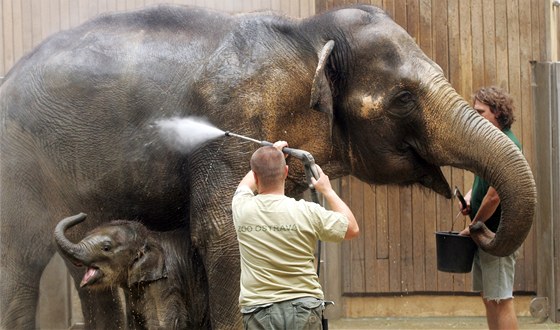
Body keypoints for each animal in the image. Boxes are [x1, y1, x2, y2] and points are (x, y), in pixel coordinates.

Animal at [54, 213, 199, 328]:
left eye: (106, 248)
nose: (83, 215)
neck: (149, 237)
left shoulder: (166, 285)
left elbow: (163, 324)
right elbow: (134, 324)